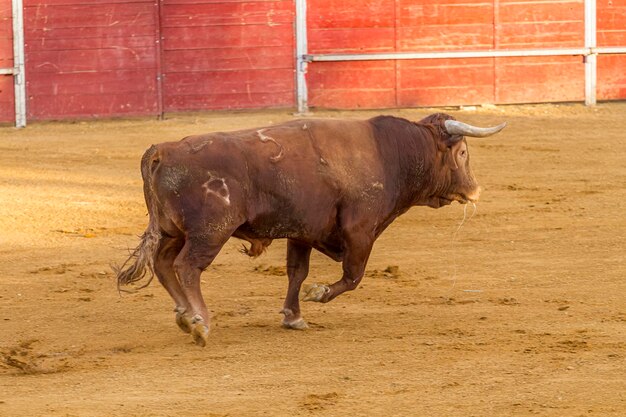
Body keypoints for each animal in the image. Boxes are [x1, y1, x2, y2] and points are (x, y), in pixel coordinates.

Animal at [114, 113, 504, 344]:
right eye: (463, 153)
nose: (475, 190)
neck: (390, 153)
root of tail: (162, 150)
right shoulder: (360, 230)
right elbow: (353, 275)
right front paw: (319, 294)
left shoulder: (301, 232)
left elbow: (296, 273)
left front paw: (294, 316)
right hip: (209, 232)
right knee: (187, 267)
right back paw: (199, 322)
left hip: (171, 231)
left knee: (164, 264)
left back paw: (184, 315)